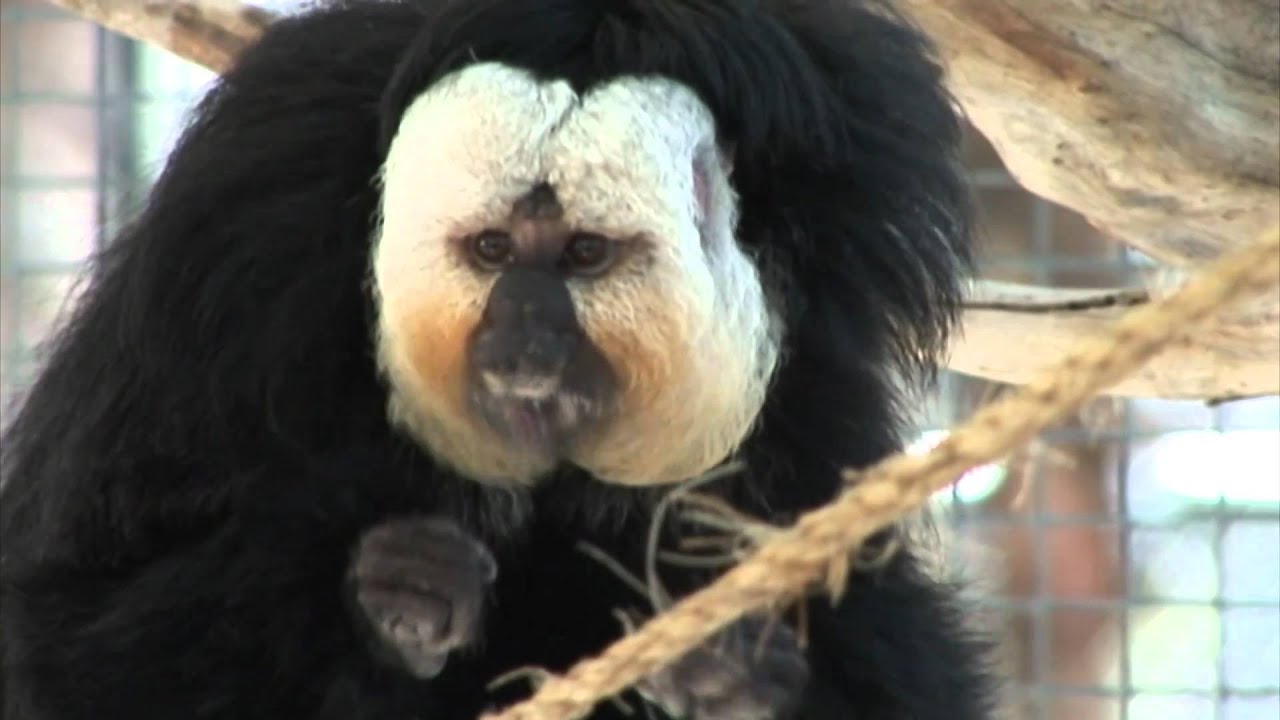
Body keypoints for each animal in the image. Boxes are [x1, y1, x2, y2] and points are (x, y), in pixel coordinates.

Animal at [0, 1, 998, 719]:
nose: (524, 349)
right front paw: (389, 596)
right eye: (490, 249)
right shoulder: (234, 269)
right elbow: (66, 630)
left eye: (584, 255)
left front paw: (744, 680)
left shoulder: (818, 365)